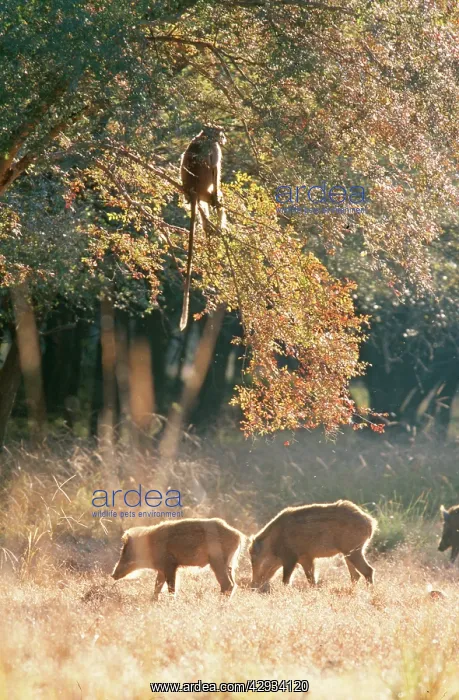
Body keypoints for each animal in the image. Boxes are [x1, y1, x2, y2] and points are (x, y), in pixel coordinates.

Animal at [112, 517, 243, 599]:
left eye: (125, 551)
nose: (112, 575)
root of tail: (239, 535)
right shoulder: (161, 569)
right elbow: (157, 586)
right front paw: (153, 601)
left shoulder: (170, 565)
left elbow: (171, 588)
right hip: (229, 564)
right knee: (233, 584)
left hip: (217, 561)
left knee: (227, 584)